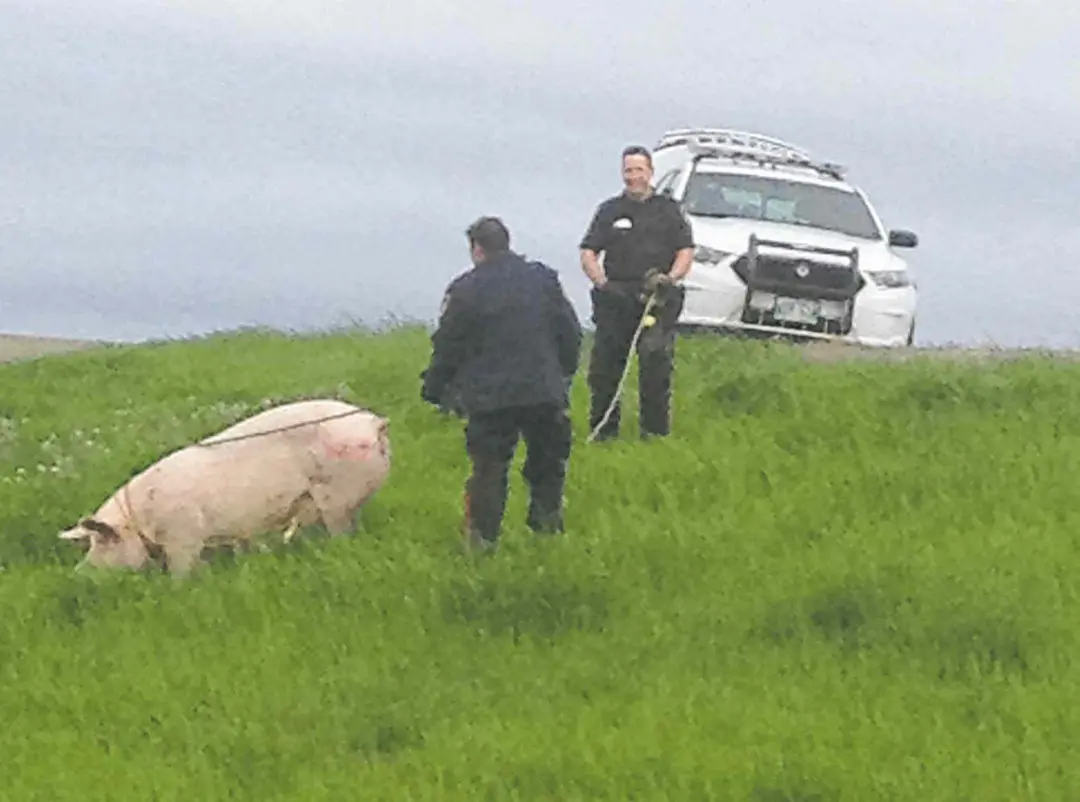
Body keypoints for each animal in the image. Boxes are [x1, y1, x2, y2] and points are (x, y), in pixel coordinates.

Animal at [56, 399, 390, 578]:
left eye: (102, 542)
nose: (79, 574)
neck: (139, 519)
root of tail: (374, 423)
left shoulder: (183, 535)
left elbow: (181, 571)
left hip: (337, 493)